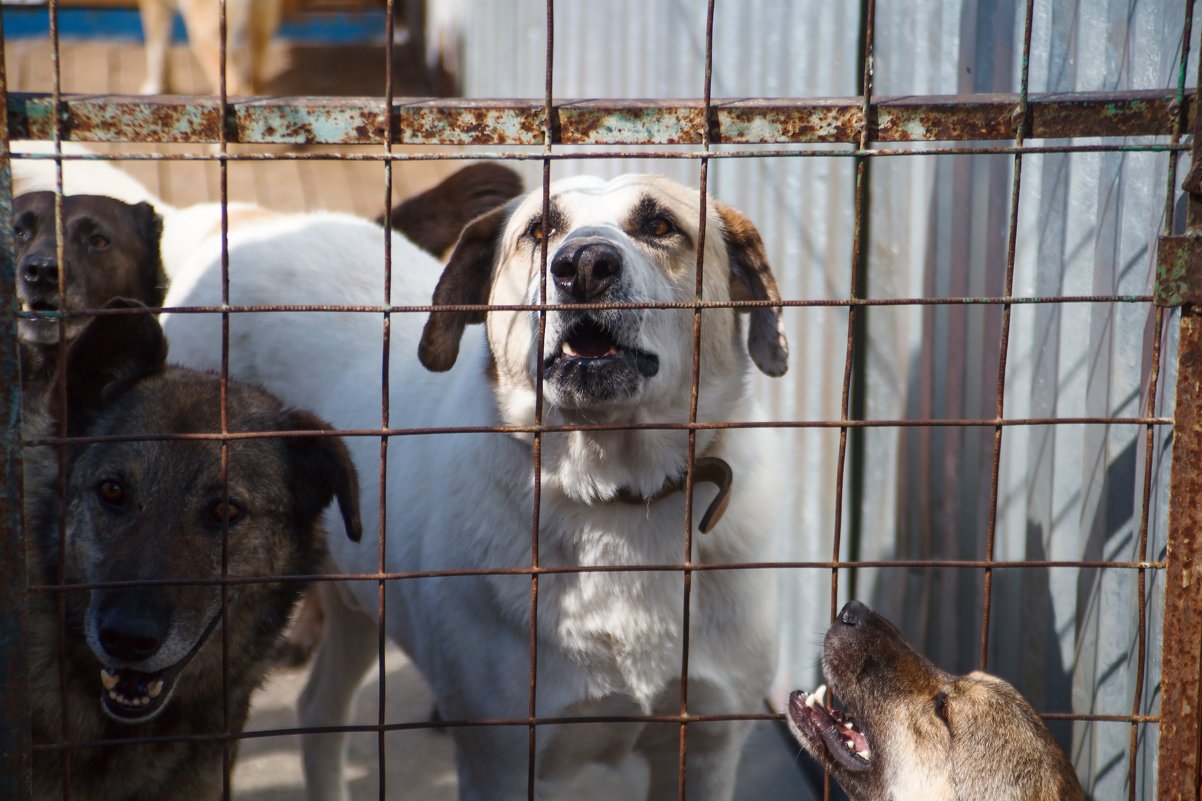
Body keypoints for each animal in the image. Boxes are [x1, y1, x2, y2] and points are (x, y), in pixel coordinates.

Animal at [159, 174, 793, 798]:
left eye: (660, 225)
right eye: (539, 230)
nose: (584, 266)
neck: (615, 500)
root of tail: (246, 223)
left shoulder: (707, 748)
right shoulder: (502, 759)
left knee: (320, 709)